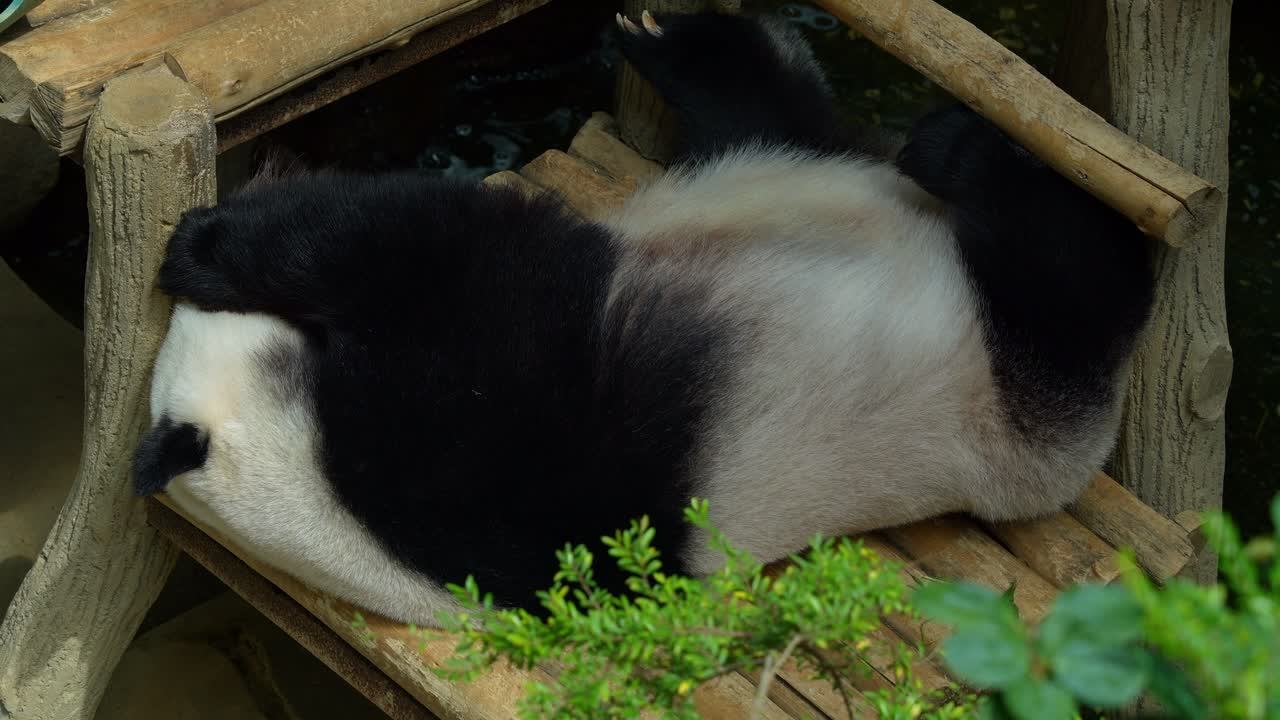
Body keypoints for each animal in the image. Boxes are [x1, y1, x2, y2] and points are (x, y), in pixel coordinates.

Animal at [132, 11, 1155, 626]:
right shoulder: (482, 441)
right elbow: (451, 257)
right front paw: (219, 240)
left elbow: (418, 243)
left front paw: (204, 244)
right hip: (1009, 375)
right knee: (1067, 273)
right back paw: (961, 151)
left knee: (794, 129)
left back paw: (690, 44)